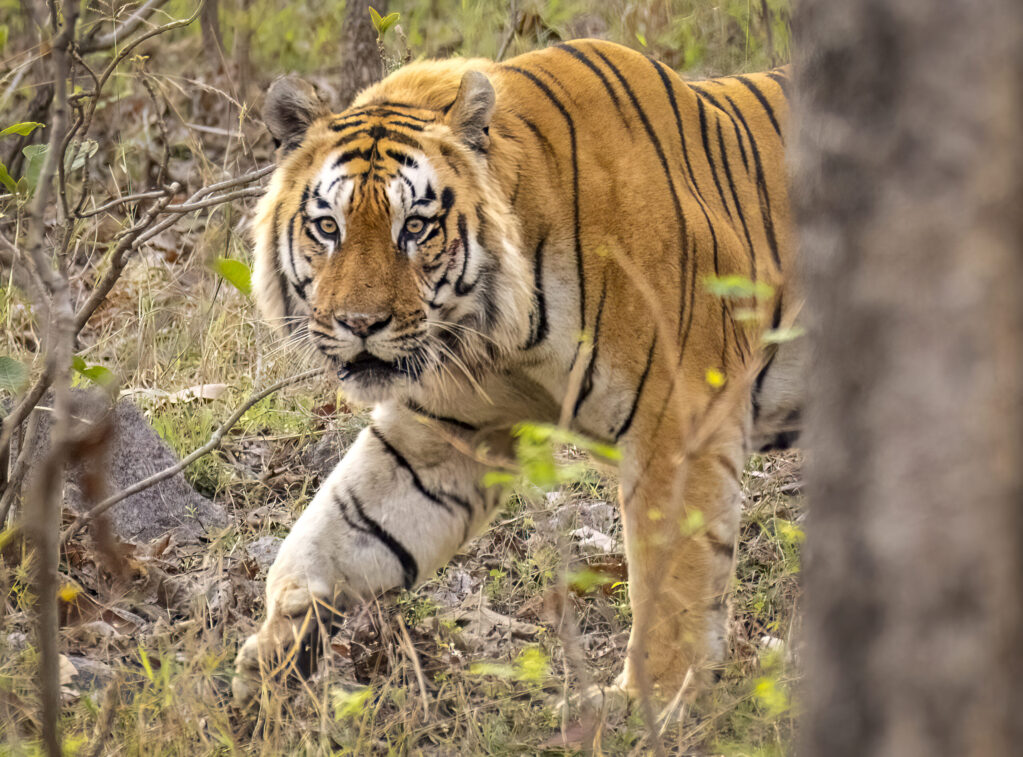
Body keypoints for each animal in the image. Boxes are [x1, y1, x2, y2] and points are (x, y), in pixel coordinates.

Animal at [234, 39, 797, 703]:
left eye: (414, 227)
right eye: (328, 227)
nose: (360, 323)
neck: (498, 335)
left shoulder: (680, 420)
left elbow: (672, 581)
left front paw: (647, 703)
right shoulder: (442, 433)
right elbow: (338, 532)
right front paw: (270, 659)